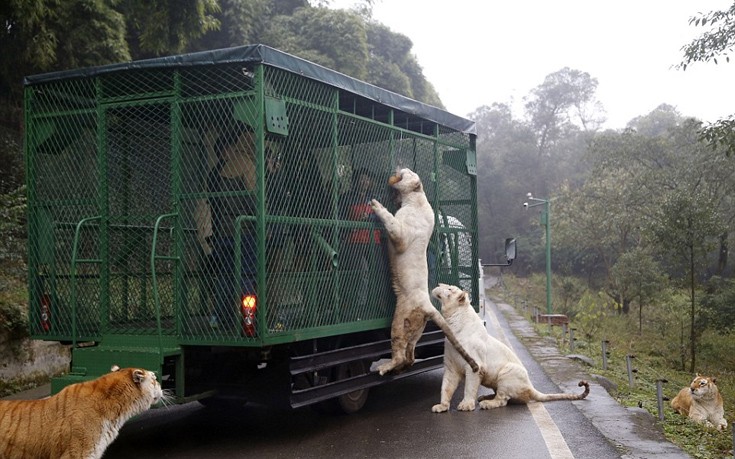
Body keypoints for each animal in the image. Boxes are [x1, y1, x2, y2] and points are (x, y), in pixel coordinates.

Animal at [370, 169, 480, 378]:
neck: (416, 197)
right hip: (416, 329)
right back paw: (399, 369)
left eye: (406, 173)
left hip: (400, 319)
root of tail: (429, 306)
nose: (398, 169)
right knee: (410, 356)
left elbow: (391, 222)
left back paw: (384, 368)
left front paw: (375, 204)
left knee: (400, 352)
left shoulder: (402, 235)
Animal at [428, 284, 588, 414]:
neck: (452, 323)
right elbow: (446, 387)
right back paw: (483, 396)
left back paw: (487, 403)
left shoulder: (475, 366)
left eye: (449, 288)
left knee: (503, 399)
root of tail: (530, 386)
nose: (438, 284)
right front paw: (441, 406)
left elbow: (469, 387)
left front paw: (466, 405)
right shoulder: (451, 367)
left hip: (508, 371)